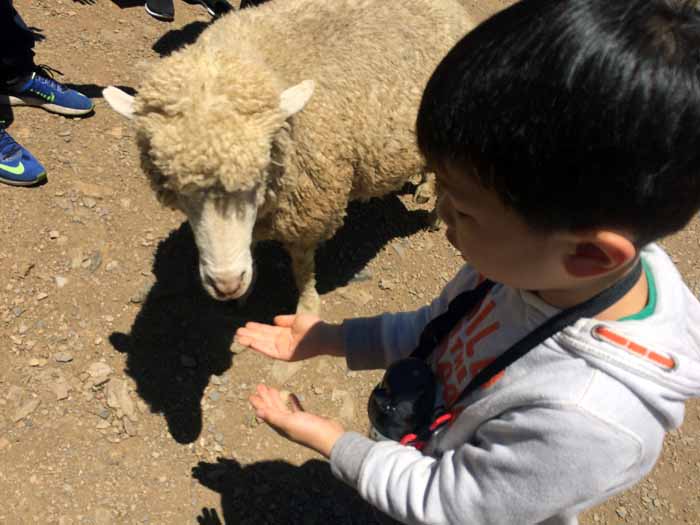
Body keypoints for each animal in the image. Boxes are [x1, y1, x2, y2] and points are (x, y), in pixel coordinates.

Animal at [104, 0, 476, 312]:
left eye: (258, 176)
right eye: (178, 190)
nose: (226, 284)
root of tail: (450, 8)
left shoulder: (310, 209)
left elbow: (302, 266)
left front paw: (307, 306)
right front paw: (246, 289)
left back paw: (435, 215)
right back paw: (424, 185)